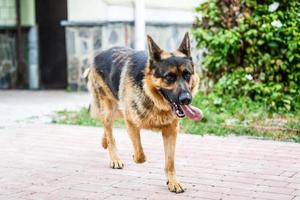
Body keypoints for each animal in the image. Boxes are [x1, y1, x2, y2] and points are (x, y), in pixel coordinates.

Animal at [83, 33, 203, 194]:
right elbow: (140, 155)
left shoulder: (171, 132)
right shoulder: (131, 122)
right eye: (169, 77)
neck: (150, 92)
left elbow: (170, 162)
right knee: (109, 130)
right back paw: (114, 158)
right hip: (109, 109)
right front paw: (134, 155)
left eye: (187, 75)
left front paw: (172, 182)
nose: (186, 99)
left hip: (117, 108)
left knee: (108, 127)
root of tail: (99, 54)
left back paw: (104, 142)